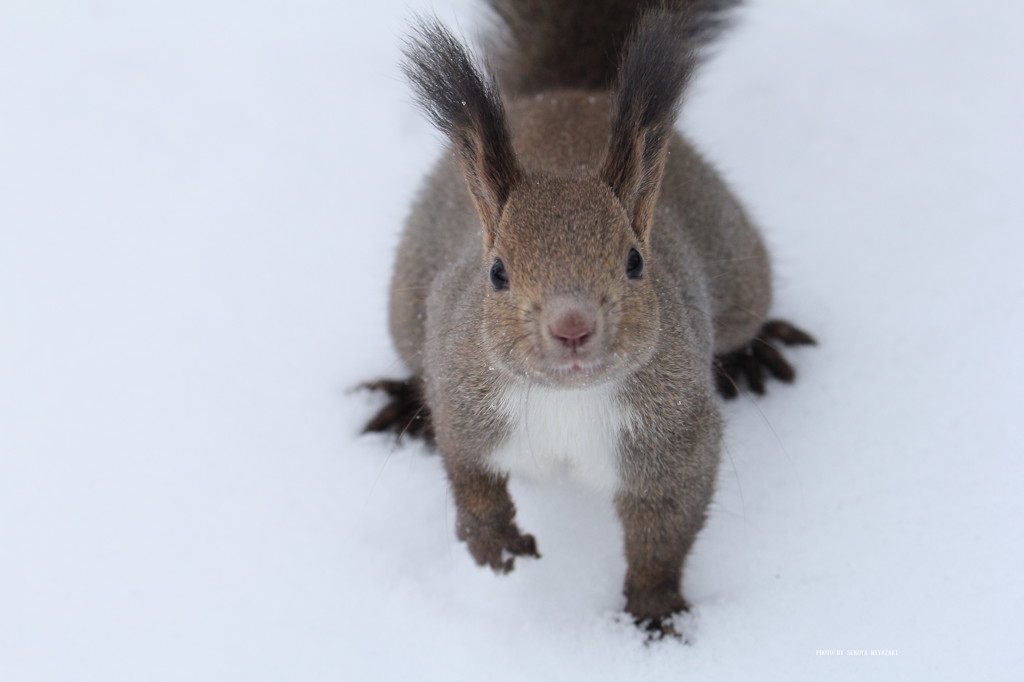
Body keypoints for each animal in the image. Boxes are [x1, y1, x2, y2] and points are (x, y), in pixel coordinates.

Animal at [364, 0, 811, 630]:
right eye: (497, 272)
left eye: (635, 261)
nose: (572, 327)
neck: (567, 399)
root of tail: (569, 93)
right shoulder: (463, 404)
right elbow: (468, 477)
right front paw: (493, 544)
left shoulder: (676, 441)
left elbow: (665, 532)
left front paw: (654, 610)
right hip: (408, 305)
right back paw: (402, 400)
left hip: (739, 268)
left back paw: (754, 355)